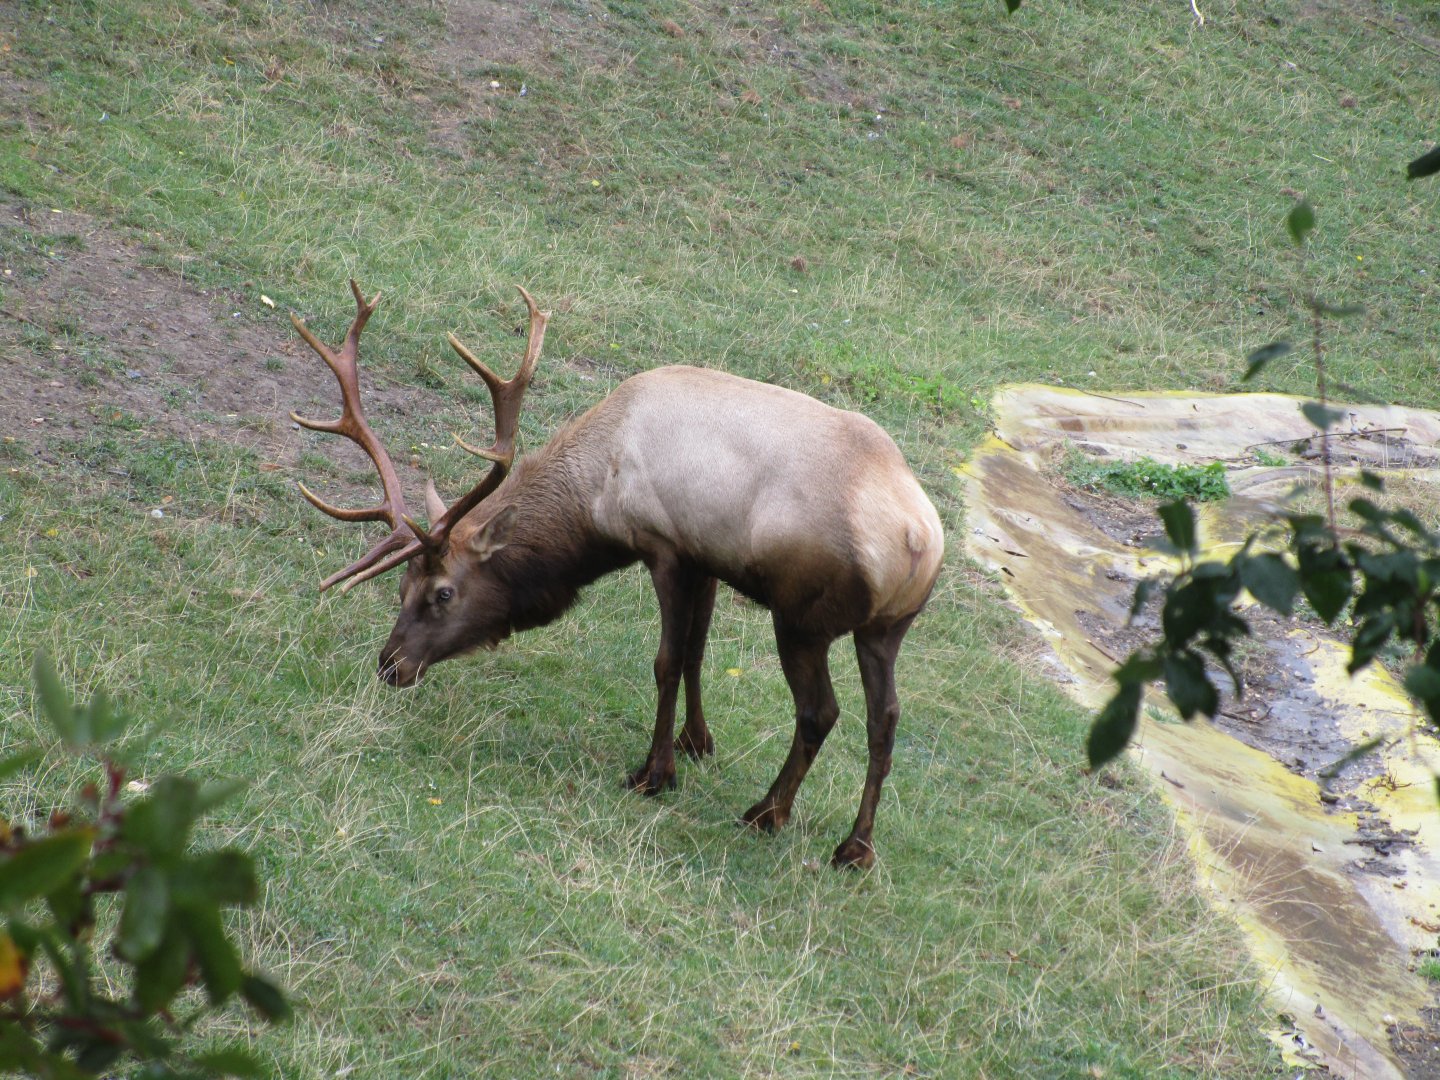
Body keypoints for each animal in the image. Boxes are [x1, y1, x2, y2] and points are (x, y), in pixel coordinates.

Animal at [289, 281, 944, 868]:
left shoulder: (664, 548)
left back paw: (767, 813)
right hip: (887, 627)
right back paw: (855, 848)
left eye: (442, 592)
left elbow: (666, 662)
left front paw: (654, 773)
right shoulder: (705, 557)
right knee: (885, 719)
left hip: (802, 618)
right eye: (401, 585)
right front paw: (696, 743)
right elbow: (698, 652)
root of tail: (918, 539)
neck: (596, 498)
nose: (390, 664)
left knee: (821, 712)